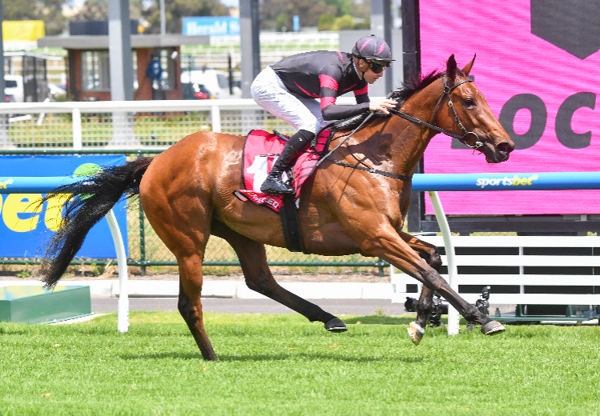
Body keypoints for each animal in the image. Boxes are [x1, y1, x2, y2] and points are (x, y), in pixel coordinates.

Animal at [42, 56, 516, 360]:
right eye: (469, 101)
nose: (504, 146)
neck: (375, 157)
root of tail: (154, 162)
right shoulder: (373, 237)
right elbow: (430, 270)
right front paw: (480, 317)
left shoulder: (390, 230)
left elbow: (432, 257)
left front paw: (421, 321)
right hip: (189, 240)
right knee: (189, 304)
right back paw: (212, 356)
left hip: (240, 232)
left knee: (260, 280)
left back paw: (328, 317)